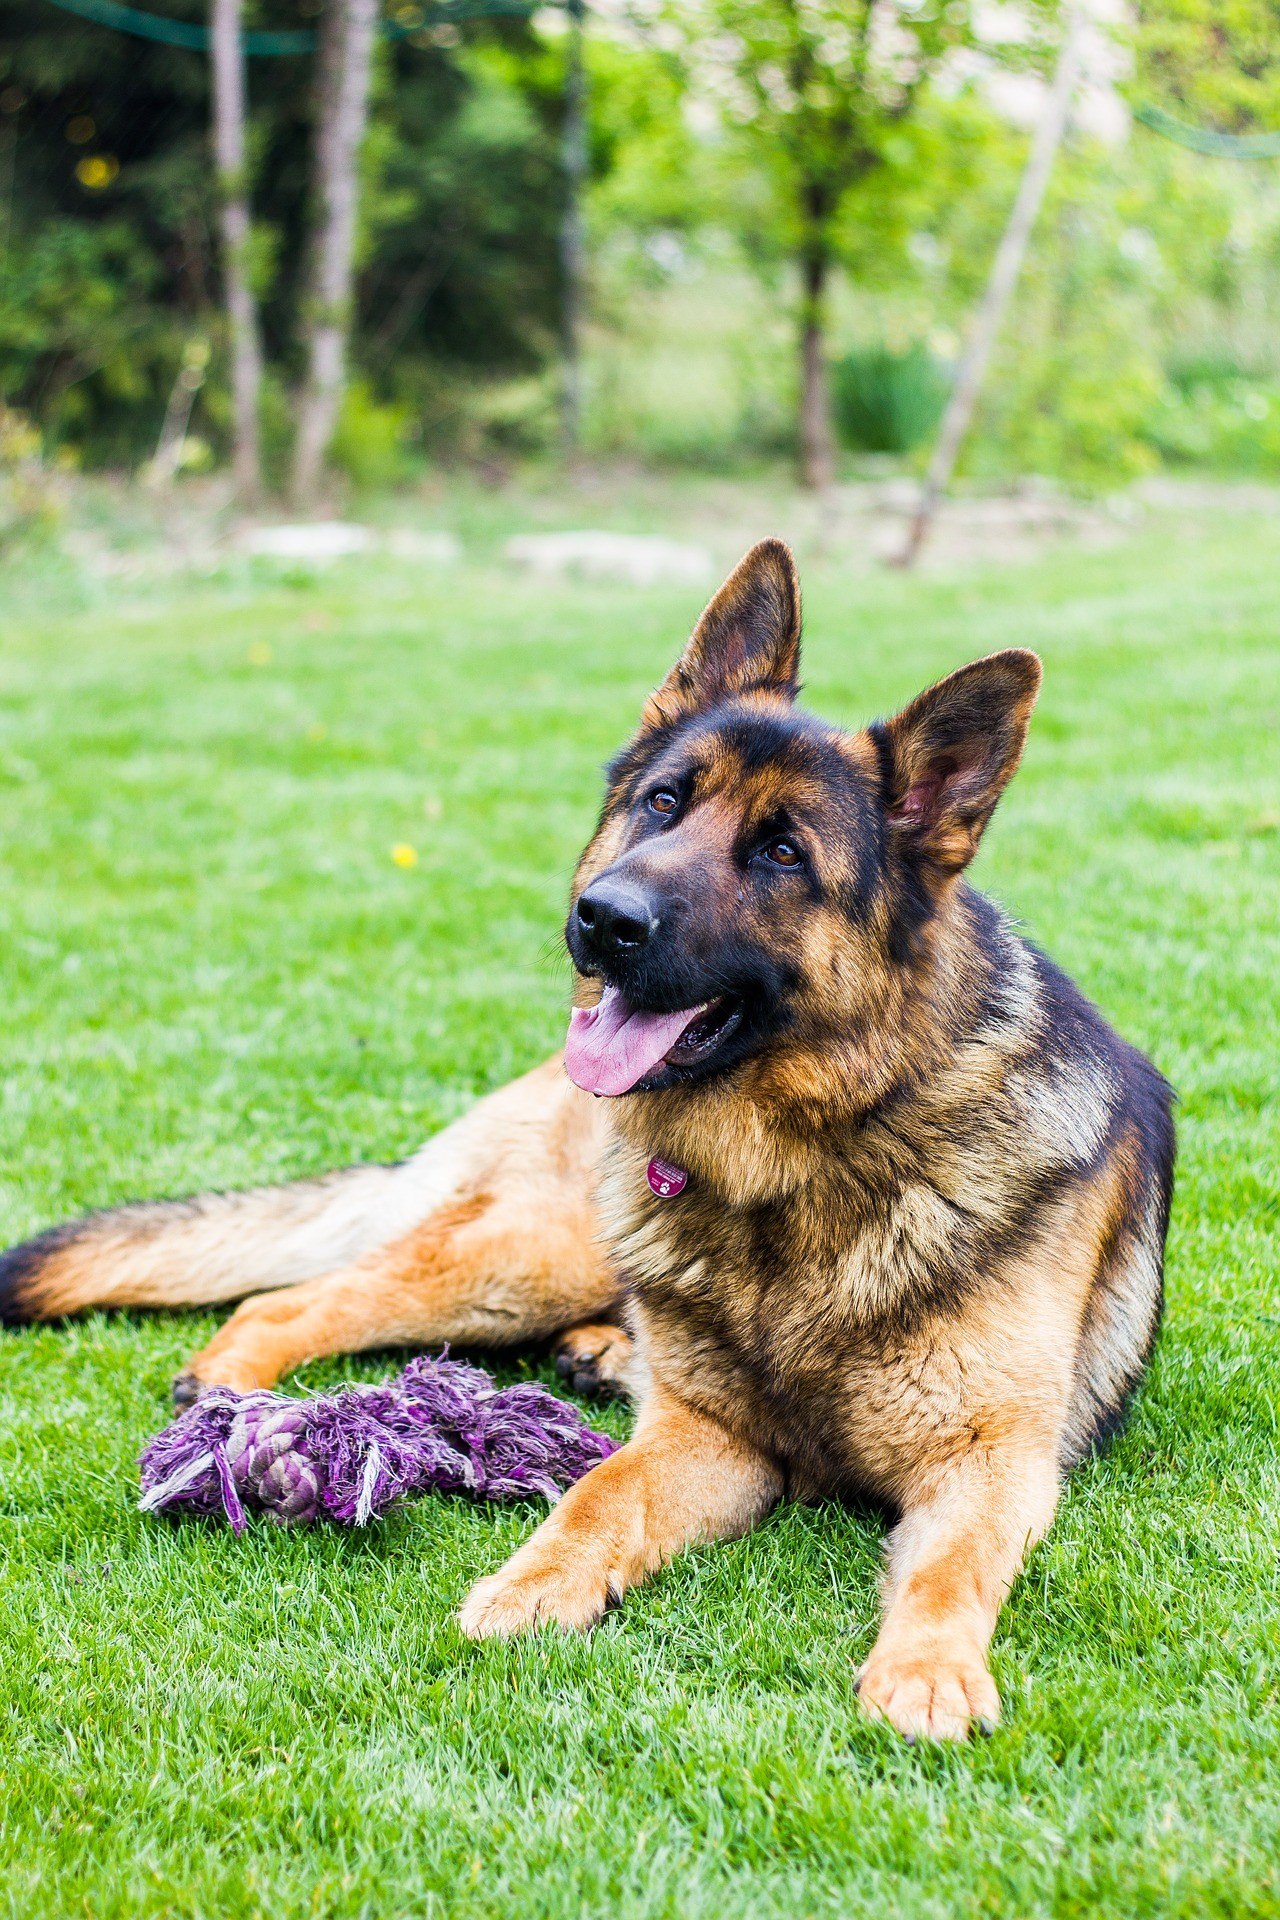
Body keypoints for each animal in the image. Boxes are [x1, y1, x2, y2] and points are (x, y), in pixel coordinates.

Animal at [2, 537, 1182, 1743]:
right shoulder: (706, 1439)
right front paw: (533, 1581)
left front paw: (930, 1671)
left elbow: (951, 1567)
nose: (602, 920)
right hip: (534, 1254)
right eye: (664, 803)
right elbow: (600, 1491)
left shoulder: (989, 1466)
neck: (807, 1160)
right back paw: (236, 1399)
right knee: (288, 1300)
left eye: (782, 854)